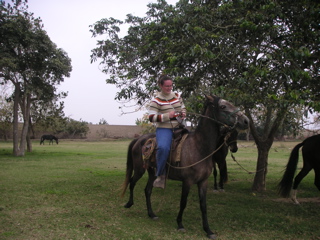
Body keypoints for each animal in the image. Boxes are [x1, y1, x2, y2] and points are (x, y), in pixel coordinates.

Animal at [121, 95, 249, 238]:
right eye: (223, 106)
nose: (246, 121)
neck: (199, 147)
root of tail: (139, 140)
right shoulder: (187, 181)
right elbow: (183, 202)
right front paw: (180, 224)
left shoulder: (203, 182)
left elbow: (203, 205)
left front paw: (208, 230)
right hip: (139, 169)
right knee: (132, 183)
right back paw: (129, 203)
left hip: (152, 172)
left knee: (147, 190)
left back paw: (151, 214)